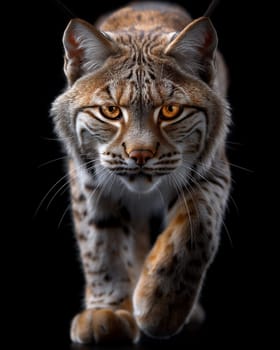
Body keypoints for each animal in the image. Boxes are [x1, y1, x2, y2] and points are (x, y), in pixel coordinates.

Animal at [51, 0, 231, 344]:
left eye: (171, 111)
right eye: (110, 111)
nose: (140, 155)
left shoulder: (211, 167)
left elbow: (195, 229)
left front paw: (162, 307)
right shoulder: (88, 177)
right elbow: (100, 243)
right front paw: (106, 310)